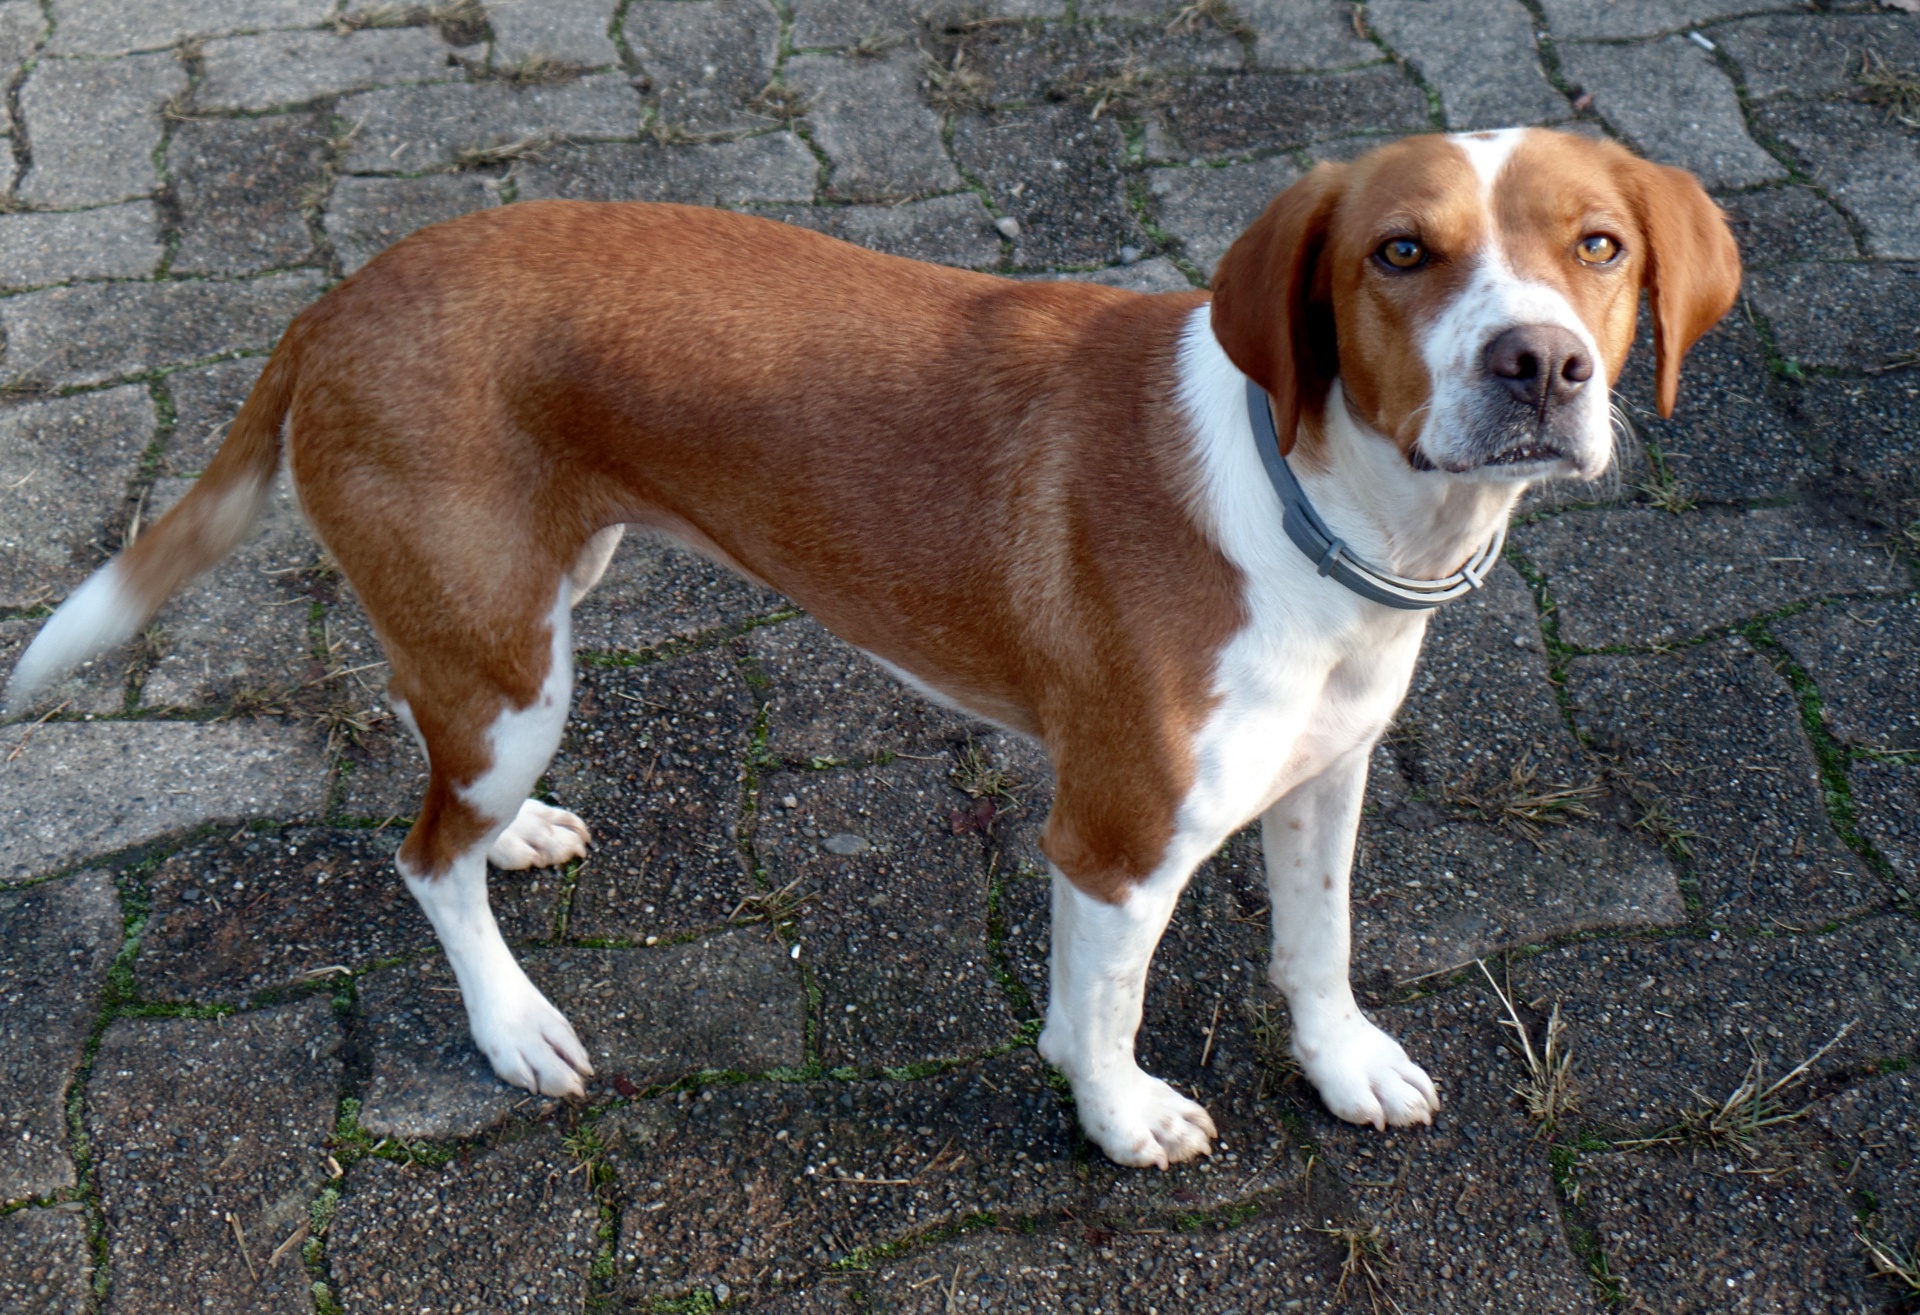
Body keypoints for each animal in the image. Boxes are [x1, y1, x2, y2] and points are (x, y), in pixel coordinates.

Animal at [3, 128, 1743, 1167]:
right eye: (1400, 253)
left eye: (1598, 245)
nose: (1541, 365)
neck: (1311, 498)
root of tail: (339, 297)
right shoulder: (1113, 840)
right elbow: (1095, 1013)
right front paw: (1119, 1115)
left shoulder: (1325, 775)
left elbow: (1318, 944)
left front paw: (1341, 1061)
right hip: (511, 674)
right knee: (421, 853)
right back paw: (510, 1023)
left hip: (524, 629)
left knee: (447, 801)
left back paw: (529, 838)